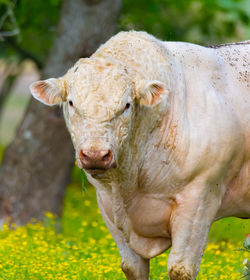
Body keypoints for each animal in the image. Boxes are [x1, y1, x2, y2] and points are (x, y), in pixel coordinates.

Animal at [29, 31, 250, 280]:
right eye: (71, 102)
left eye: (127, 105)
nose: (95, 155)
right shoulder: (107, 204)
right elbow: (132, 267)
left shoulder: (201, 196)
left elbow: (180, 269)